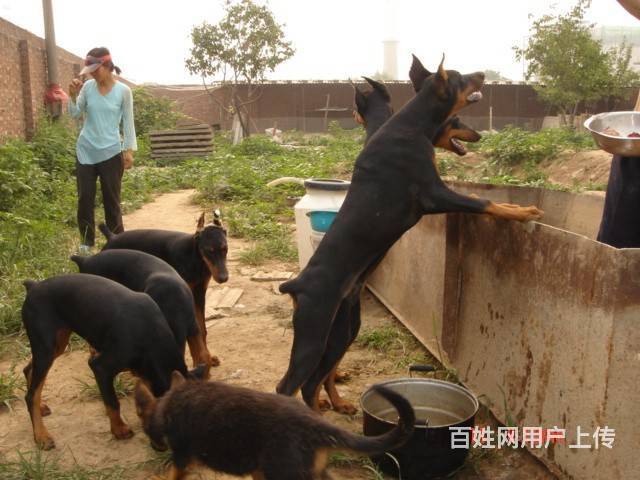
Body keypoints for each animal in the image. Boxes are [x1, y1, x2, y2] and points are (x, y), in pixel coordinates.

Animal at [21, 274, 204, 450]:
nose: (160, 449)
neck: (152, 337)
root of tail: (34, 286)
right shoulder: (100, 366)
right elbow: (113, 402)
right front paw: (119, 430)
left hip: (57, 345)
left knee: (28, 369)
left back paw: (41, 407)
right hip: (46, 347)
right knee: (30, 396)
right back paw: (41, 437)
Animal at [99, 209, 229, 364]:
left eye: (225, 249)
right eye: (209, 251)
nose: (223, 278)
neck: (195, 258)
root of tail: (111, 237)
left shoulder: (199, 294)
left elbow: (202, 328)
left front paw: (208, 356)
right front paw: (199, 360)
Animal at [135, 372, 416, 480]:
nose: (156, 447)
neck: (167, 404)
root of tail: (314, 423)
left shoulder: (182, 458)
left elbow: (171, 474)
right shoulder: (258, 471)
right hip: (310, 472)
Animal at [278, 53, 544, 412]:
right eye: (460, 78)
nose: (482, 73)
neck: (410, 126)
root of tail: (296, 284)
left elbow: (484, 198)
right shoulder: (434, 194)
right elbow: (484, 201)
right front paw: (523, 212)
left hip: (341, 328)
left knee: (317, 378)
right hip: (314, 331)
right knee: (294, 386)